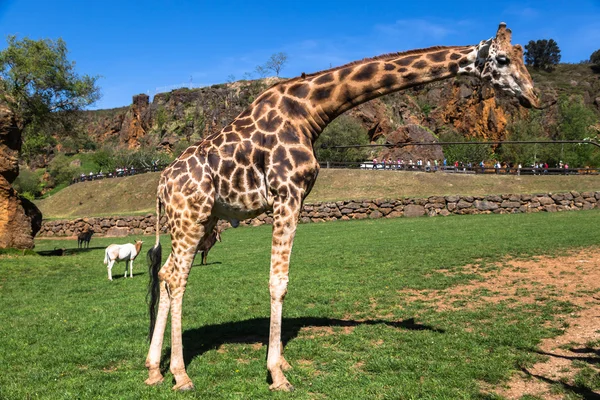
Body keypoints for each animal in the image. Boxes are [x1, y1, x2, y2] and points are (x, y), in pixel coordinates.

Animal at [144, 22, 540, 390]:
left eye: (522, 56)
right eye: (502, 60)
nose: (534, 97)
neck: (310, 111)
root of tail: (162, 184)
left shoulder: (296, 199)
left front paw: (282, 362)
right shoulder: (287, 194)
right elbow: (278, 281)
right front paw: (277, 374)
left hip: (202, 220)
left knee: (165, 274)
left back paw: (153, 370)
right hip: (191, 216)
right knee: (177, 277)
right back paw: (180, 374)